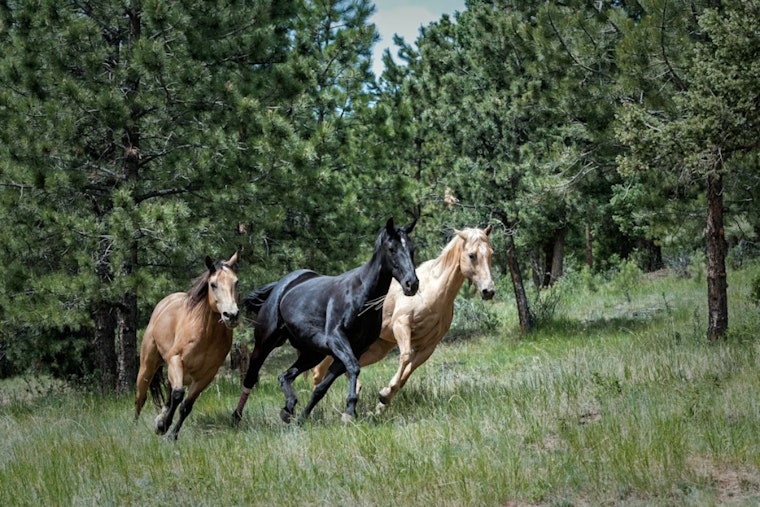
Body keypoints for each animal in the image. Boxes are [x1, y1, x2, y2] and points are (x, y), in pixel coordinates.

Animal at [134, 251, 240, 440]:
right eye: (213, 284)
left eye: (236, 282)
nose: (231, 315)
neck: (206, 334)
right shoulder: (176, 360)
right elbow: (178, 395)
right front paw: (164, 426)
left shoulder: (206, 375)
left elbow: (186, 405)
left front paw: (170, 434)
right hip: (148, 367)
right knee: (140, 397)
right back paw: (134, 430)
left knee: (169, 393)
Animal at [232, 217, 419, 424]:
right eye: (392, 248)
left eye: (412, 249)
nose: (412, 283)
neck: (361, 295)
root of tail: (281, 285)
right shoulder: (337, 339)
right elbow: (353, 367)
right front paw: (349, 411)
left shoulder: (353, 349)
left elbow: (322, 387)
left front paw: (303, 417)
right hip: (265, 343)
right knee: (250, 377)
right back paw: (236, 417)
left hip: (312, 353)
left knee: (285, 376)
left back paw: (288, 408)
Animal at [312, 225, 494, 411]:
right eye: (472, 255)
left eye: (490, 253)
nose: (488, 290)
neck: (433, 292)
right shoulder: (401, 325)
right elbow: (405, 357)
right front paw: (385, 394)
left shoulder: (429, 346)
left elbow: (408, 371)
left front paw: (384, 398)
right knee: (320, 371)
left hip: (377, 348)